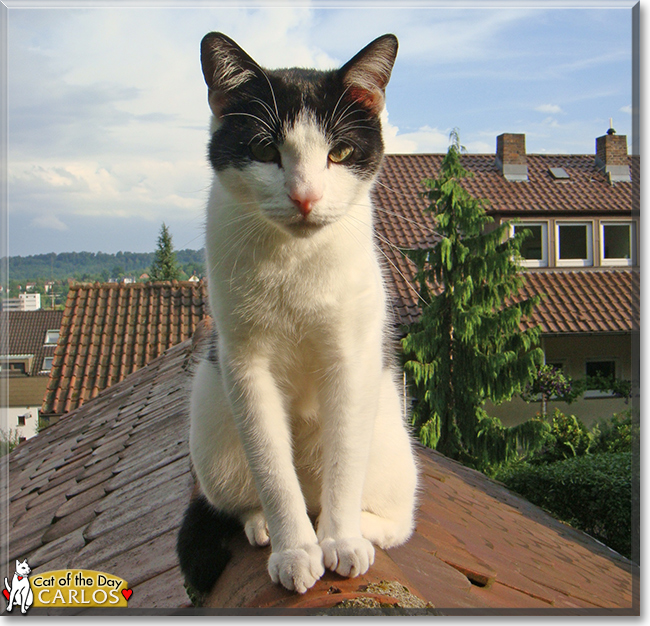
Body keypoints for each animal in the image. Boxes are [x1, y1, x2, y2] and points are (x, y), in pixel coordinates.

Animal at [177, 30, 418, 596]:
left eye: (340, 152)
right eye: (266, 149)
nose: (306, 196)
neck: (295, 262)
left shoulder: (352, 359)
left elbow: (345, 462)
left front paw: (342, 541)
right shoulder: (245, 365)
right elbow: (271, 467)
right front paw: (294, 551)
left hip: (391, 442)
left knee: (397, 520)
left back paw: (357, 529)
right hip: (212, 424)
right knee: (244, 498)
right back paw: (267, 525)